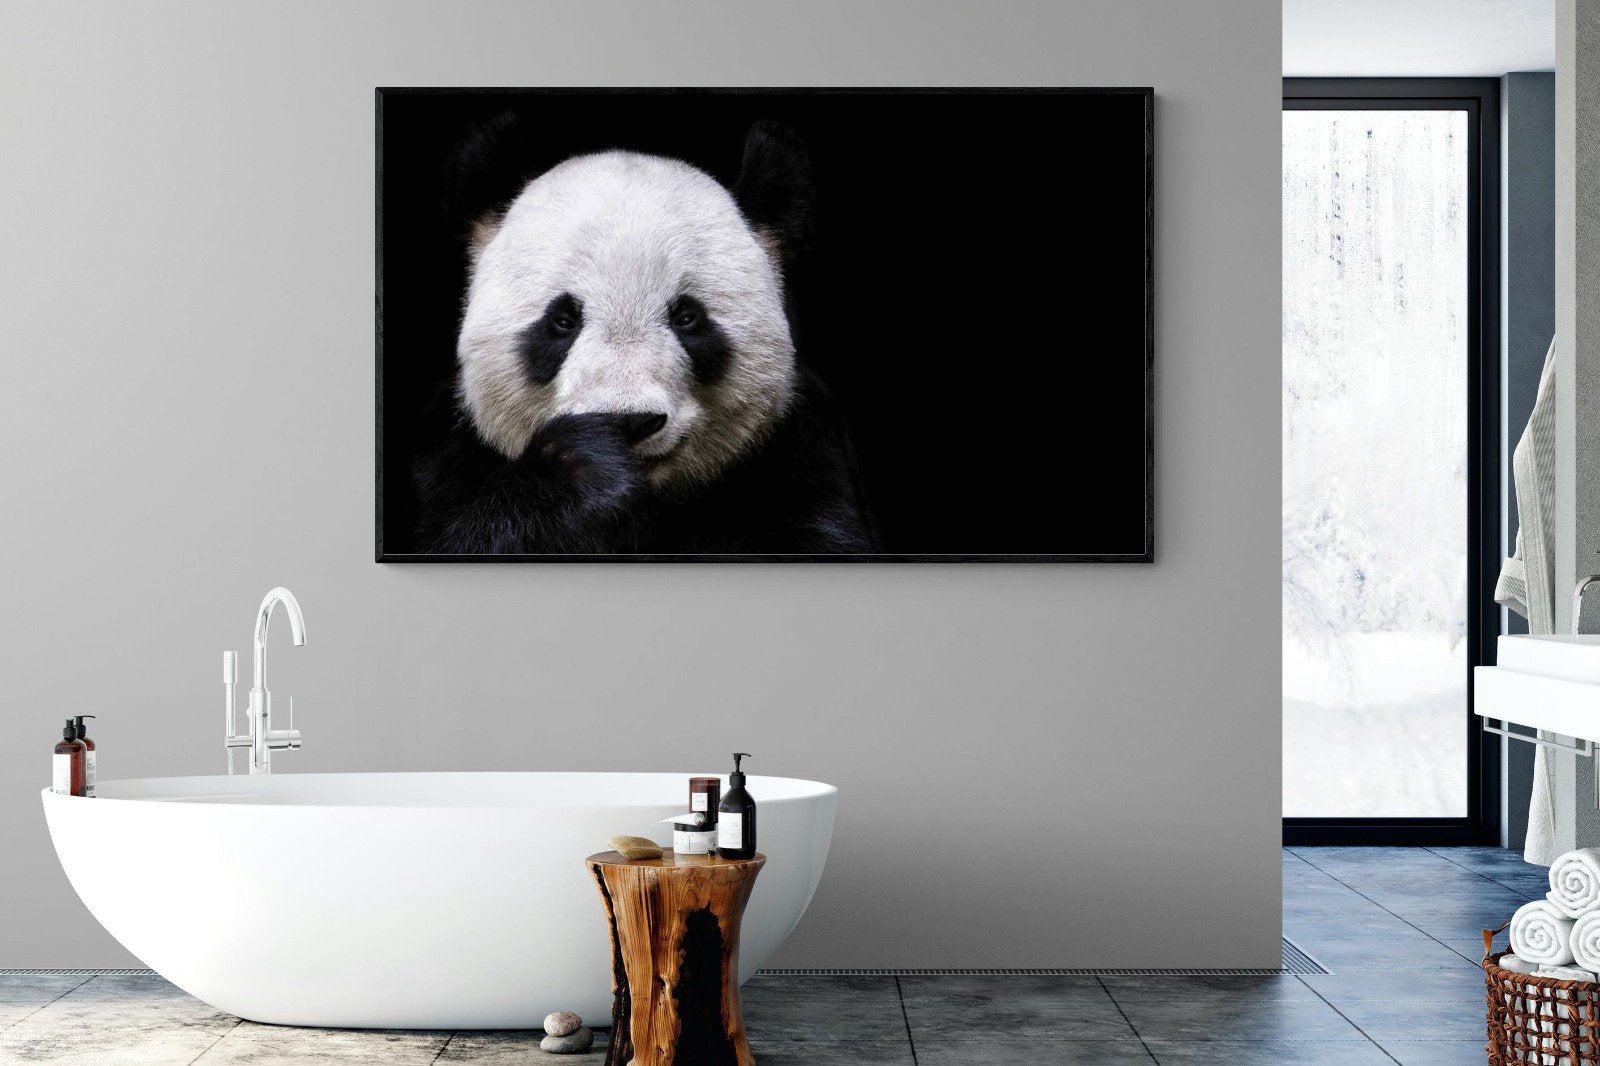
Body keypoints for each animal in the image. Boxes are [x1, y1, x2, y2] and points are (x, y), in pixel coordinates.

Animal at [412, 120, 880, 556]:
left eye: (687, 317)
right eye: (562, 321)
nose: (630, 422)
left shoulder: (800, 457)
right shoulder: (449, 461)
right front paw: (586, 468)